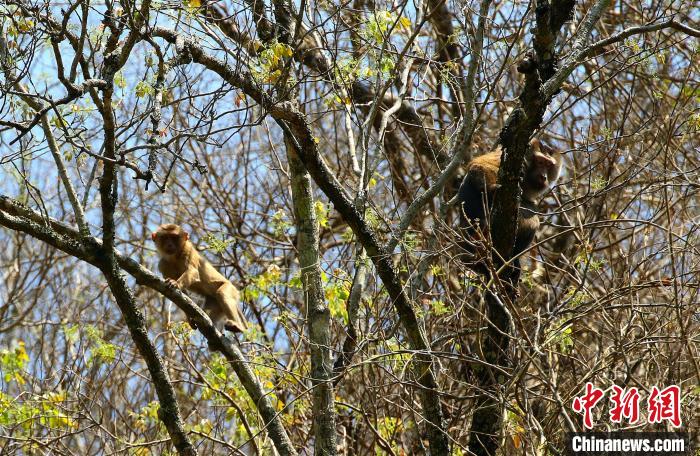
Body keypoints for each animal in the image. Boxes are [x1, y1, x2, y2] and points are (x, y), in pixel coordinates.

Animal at [456, 138, 560, 274]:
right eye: (540, 162)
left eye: (548, 165)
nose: (544, 176)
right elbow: (480, 165)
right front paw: (492, 190)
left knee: (531, 215)